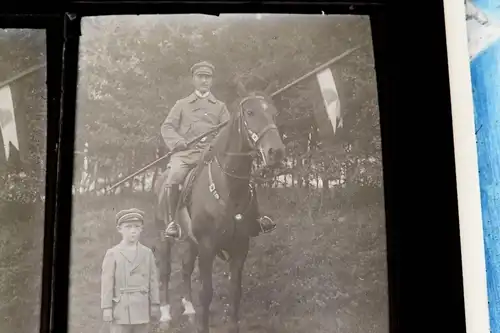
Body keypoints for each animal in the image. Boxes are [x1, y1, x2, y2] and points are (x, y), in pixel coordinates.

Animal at [152, 88, 286, 332]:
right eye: (250, 112)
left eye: (274, 113)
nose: (277, 152)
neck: (229, 190)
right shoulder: (207, 247)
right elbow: (206, 293)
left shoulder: (240, 247)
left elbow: (235, 292)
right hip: (164, 237)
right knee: (165, 272)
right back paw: (165, 316)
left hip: (190, 242)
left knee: (185, 269)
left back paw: (189, 310)